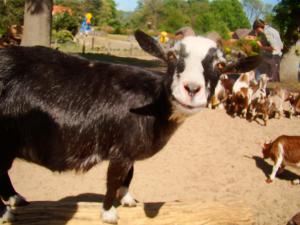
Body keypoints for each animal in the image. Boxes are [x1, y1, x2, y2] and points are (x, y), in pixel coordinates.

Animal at [0, 30, 260, 223]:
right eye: (172, 56)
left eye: (221, 65)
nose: (192, 88)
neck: (153, 103)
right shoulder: (120, 151)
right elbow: (114, 179)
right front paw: (108, 213)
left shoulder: (130, 150)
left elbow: (130, 175)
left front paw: (127, 200)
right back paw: (7, 211)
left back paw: (15, 199)